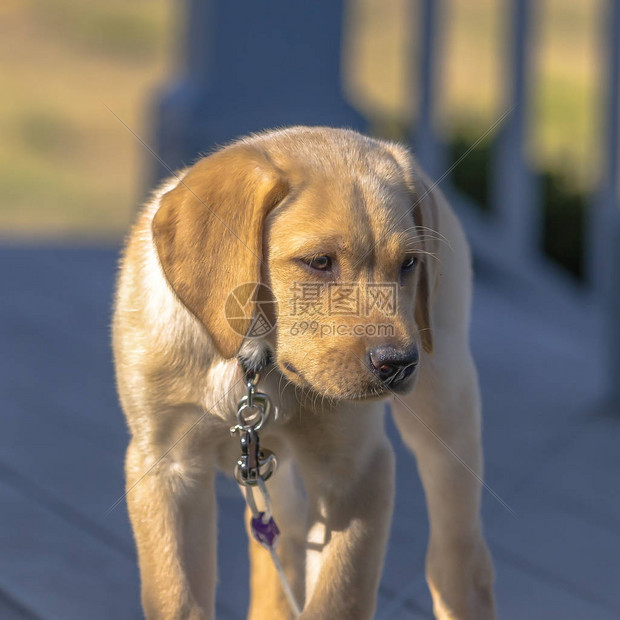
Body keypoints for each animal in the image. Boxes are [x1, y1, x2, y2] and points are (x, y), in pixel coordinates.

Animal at [114, 127, 496, 620]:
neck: (255, 365)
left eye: (409, 264)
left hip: (446, 401)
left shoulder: (354, 472)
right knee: (284, 538)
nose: (398, 364)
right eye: (319, 262)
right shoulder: (166, 467)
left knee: (459, 551)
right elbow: (177, 598)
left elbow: (337, 597)